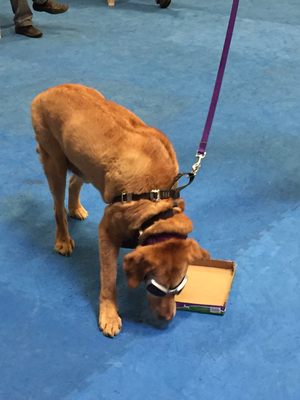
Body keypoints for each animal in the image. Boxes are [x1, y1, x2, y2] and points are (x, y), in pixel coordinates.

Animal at [30, 84, 209, 338]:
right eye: (156, 288)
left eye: (179, 287)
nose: (167, 319)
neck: (156, 202)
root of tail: (47, 91)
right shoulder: (106, 231)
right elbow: (109, 279)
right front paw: (109, 315)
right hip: (54, 162)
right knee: (57, 206)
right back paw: (63, 239)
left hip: (85, 164)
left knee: (74, 183)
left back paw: (75, 208)